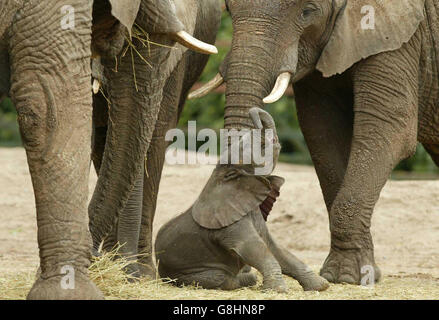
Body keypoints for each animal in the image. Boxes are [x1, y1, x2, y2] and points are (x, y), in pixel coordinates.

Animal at [156, 108, 328, 292]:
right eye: (260, 146)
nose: (254, 113)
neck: (223, 176)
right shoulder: (228, 225)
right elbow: (253, 248)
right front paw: (277, 290)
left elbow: (273, 246)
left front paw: (321, 286)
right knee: (222, 278)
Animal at [192, 0, 439, 284]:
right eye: (229, 11)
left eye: (307, 12)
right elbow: (322, 129)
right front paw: (345, 275)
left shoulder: (402, 34)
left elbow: (388, 128)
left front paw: (346, 277)